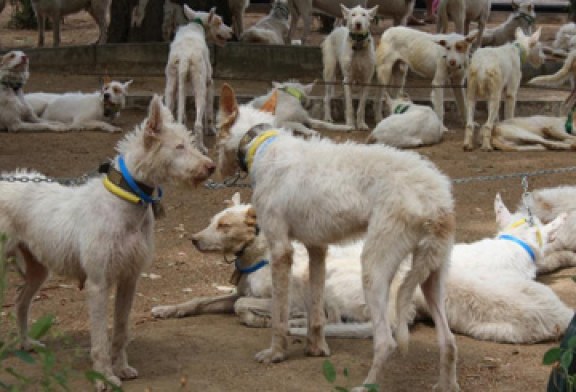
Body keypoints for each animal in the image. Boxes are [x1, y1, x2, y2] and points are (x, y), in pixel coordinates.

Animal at [153, 191, 572, 344]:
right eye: (213, 220)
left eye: (224, 226)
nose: (193, 239)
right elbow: (201, 302)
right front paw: (165, 309)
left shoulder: (282, 297)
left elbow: (245, 306)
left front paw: (260, 319)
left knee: (338, 320)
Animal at [163, 6, 233, 153]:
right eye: (219, 22)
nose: (231, 31)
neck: (196, 25)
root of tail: (184, 56)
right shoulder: (209, 83)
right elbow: (209, 111)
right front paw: (211, 130)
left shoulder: (181, 85)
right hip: (199, 87)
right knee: (197, 124)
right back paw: (201, 147)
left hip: (171, 84)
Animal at [215, 85, 460, 392]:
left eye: (215, 132)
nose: (214, 169)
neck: (263, 144)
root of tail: (437, 196)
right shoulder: (317, 248)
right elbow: (317, 311)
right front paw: (316, 349)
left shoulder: (281, 250)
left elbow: (279, 315)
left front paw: (276, 353)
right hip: (432, 274)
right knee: (449, 342)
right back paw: (446, 385)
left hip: (375, 270)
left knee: (386, 342)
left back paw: (366, 386)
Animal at [324, 4, 378, 132]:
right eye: (353, 14)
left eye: (364, 15)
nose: (358, 24)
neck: (358, 45)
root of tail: (336, 29)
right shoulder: (347, 80)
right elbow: (349, 105)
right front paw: (350, 124)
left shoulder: (366, 81)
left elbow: (361, 106)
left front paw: (361, 124)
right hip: (330, 73)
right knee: (326, 97)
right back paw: (328, 118)